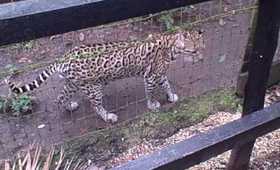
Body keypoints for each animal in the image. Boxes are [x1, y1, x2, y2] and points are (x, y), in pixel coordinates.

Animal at [6, 29, 203, 122]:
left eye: (201, 47)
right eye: (193, 50)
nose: (201, 58)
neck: (172, 47)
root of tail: (65, 57)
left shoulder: (159, 74)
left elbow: (167, 84)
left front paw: (170, 96)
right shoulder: (151, 76)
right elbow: (150, 92)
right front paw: (152, 104)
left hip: (74, 83)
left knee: (60, 98)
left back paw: (69, 106)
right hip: (93, 88)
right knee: (95, 105)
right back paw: (108, 116)